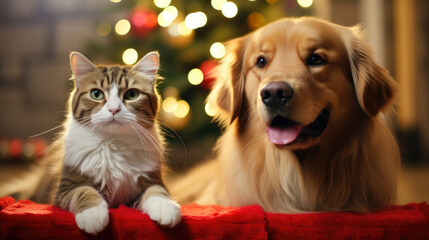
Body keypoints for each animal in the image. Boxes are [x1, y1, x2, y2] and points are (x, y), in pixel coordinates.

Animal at [48, 51, 181, 234]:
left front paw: (165, 207)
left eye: (132, 95)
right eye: (96, 94)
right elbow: (83, 191)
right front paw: (93, 214)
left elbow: (157, 191)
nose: (114, 109)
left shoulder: (150, 181)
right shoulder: (65, 188)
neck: (113, 143)